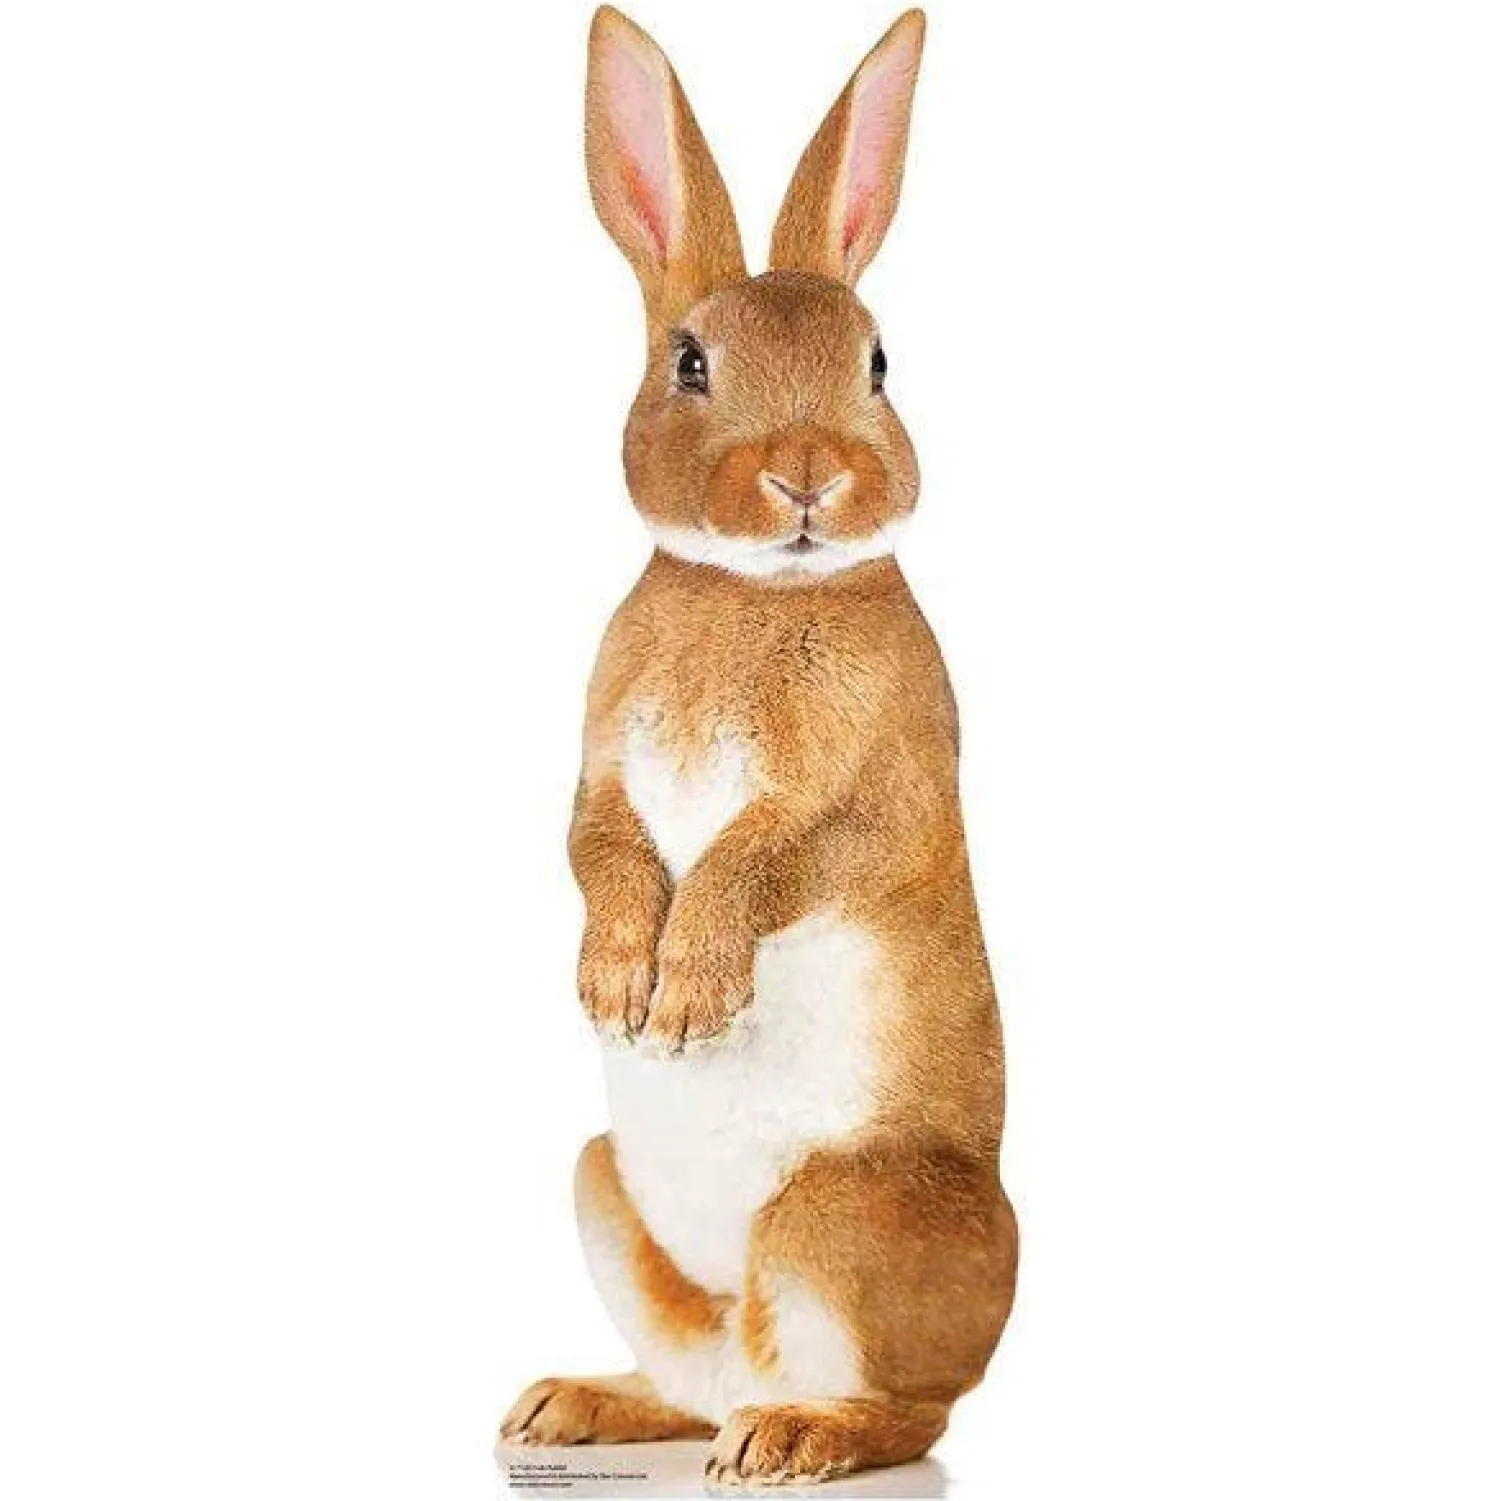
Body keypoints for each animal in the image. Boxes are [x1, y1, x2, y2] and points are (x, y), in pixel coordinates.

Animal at [498, 7, 1017, 1487]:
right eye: (690, 361)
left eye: (879, 363)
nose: (808, 475)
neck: (752, 588)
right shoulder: (599, 771)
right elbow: (599, 846)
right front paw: (618, 984)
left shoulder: (879, 790)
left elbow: (771, 857)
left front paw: (683, 999)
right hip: (602, 1186)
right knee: (693, 1375)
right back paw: (576, 1405)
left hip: (835, 1215)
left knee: (909, 1411)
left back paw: (792, 1435)